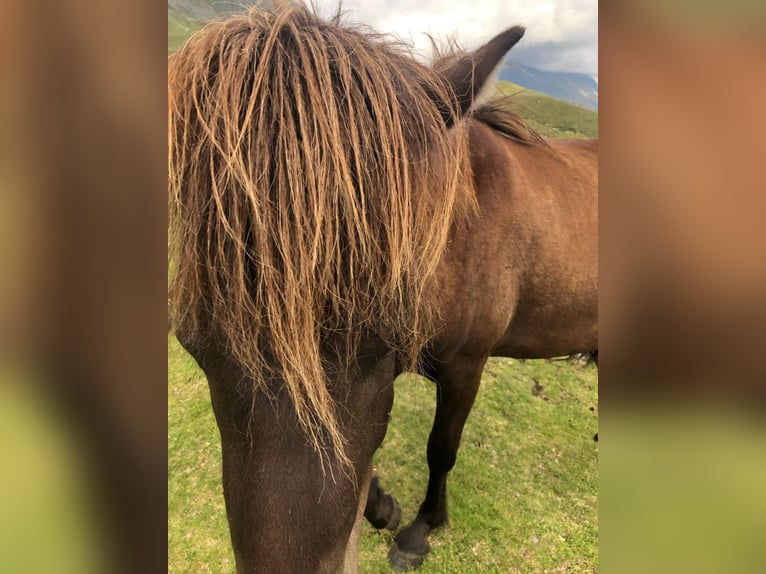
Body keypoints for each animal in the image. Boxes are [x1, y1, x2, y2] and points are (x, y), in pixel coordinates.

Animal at [168, 4, 597, 572]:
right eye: (190, 343)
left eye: (392, 331)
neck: (465, 226)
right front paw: (383, 506)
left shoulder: (466, 366)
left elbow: (441, 449)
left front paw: (421, 527)